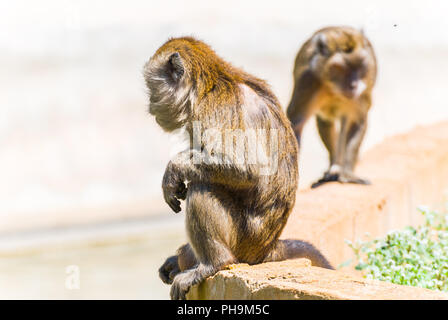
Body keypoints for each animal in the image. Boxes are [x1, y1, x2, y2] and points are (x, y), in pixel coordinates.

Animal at [144, 37, 332, 300]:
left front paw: (174, 169)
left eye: (151, 88)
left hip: (244, 239)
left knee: (204, 186)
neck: (205, 89)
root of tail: (266, 249)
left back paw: (214, 263)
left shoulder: (215, 110)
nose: (150, 105)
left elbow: (249, 170)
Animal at [286, 27, 376, 189]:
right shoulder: (309, 81)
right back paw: (333, 167)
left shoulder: (361, 94)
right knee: (326, 121)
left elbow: (356, 122)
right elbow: (296, 124)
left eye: (360, 66)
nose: (353, 85)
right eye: (341, 68)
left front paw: (347, 174)